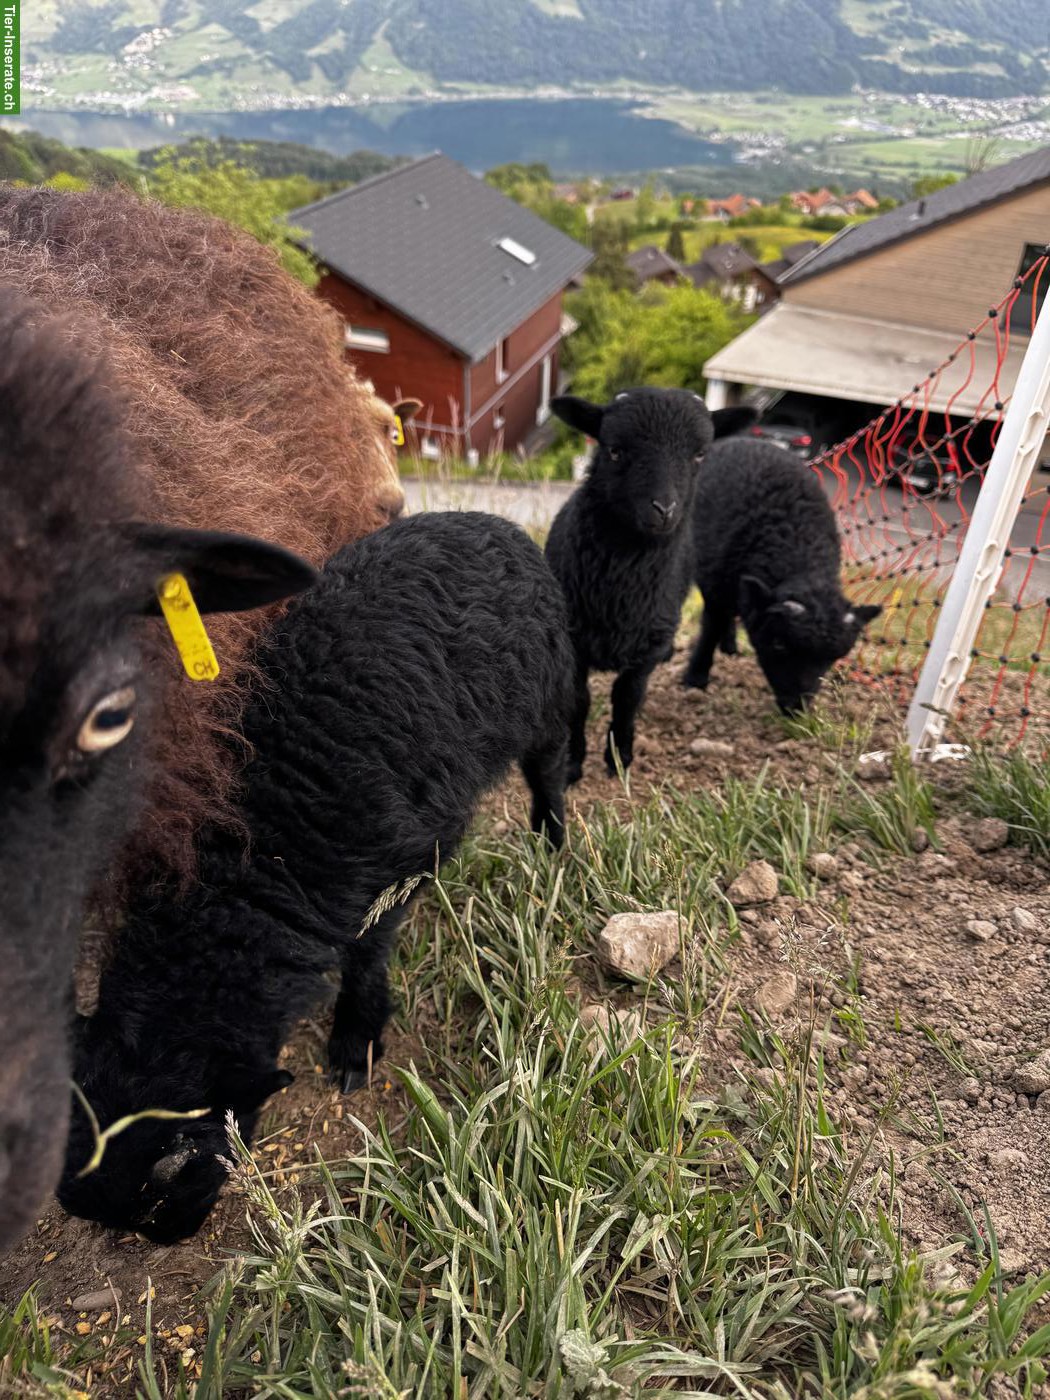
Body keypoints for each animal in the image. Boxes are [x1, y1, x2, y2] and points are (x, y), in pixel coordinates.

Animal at [58, 509, 575, 1244]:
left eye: (181, 1159)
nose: (171, 1235)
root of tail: (490, 520)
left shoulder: (403, 863)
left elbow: (367, 952)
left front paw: (355, 1042)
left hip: (548, 697)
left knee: (549, 769)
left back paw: (552, 843)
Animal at [545, 389, 755, 781]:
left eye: (699, 454)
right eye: (614, 450)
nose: (664, 509)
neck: (621, 591)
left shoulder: (646, 648)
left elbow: (628, 698)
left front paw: (619, 758)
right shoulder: (573, 642)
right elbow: (580, 701)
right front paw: (572, 762)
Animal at [683, 437, 881, 712]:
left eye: (833, 658)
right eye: (778, 644)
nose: (797, 708)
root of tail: (746, 439)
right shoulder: (715, 588)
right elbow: (710, 629)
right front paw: (695, 678)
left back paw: (730, 645)